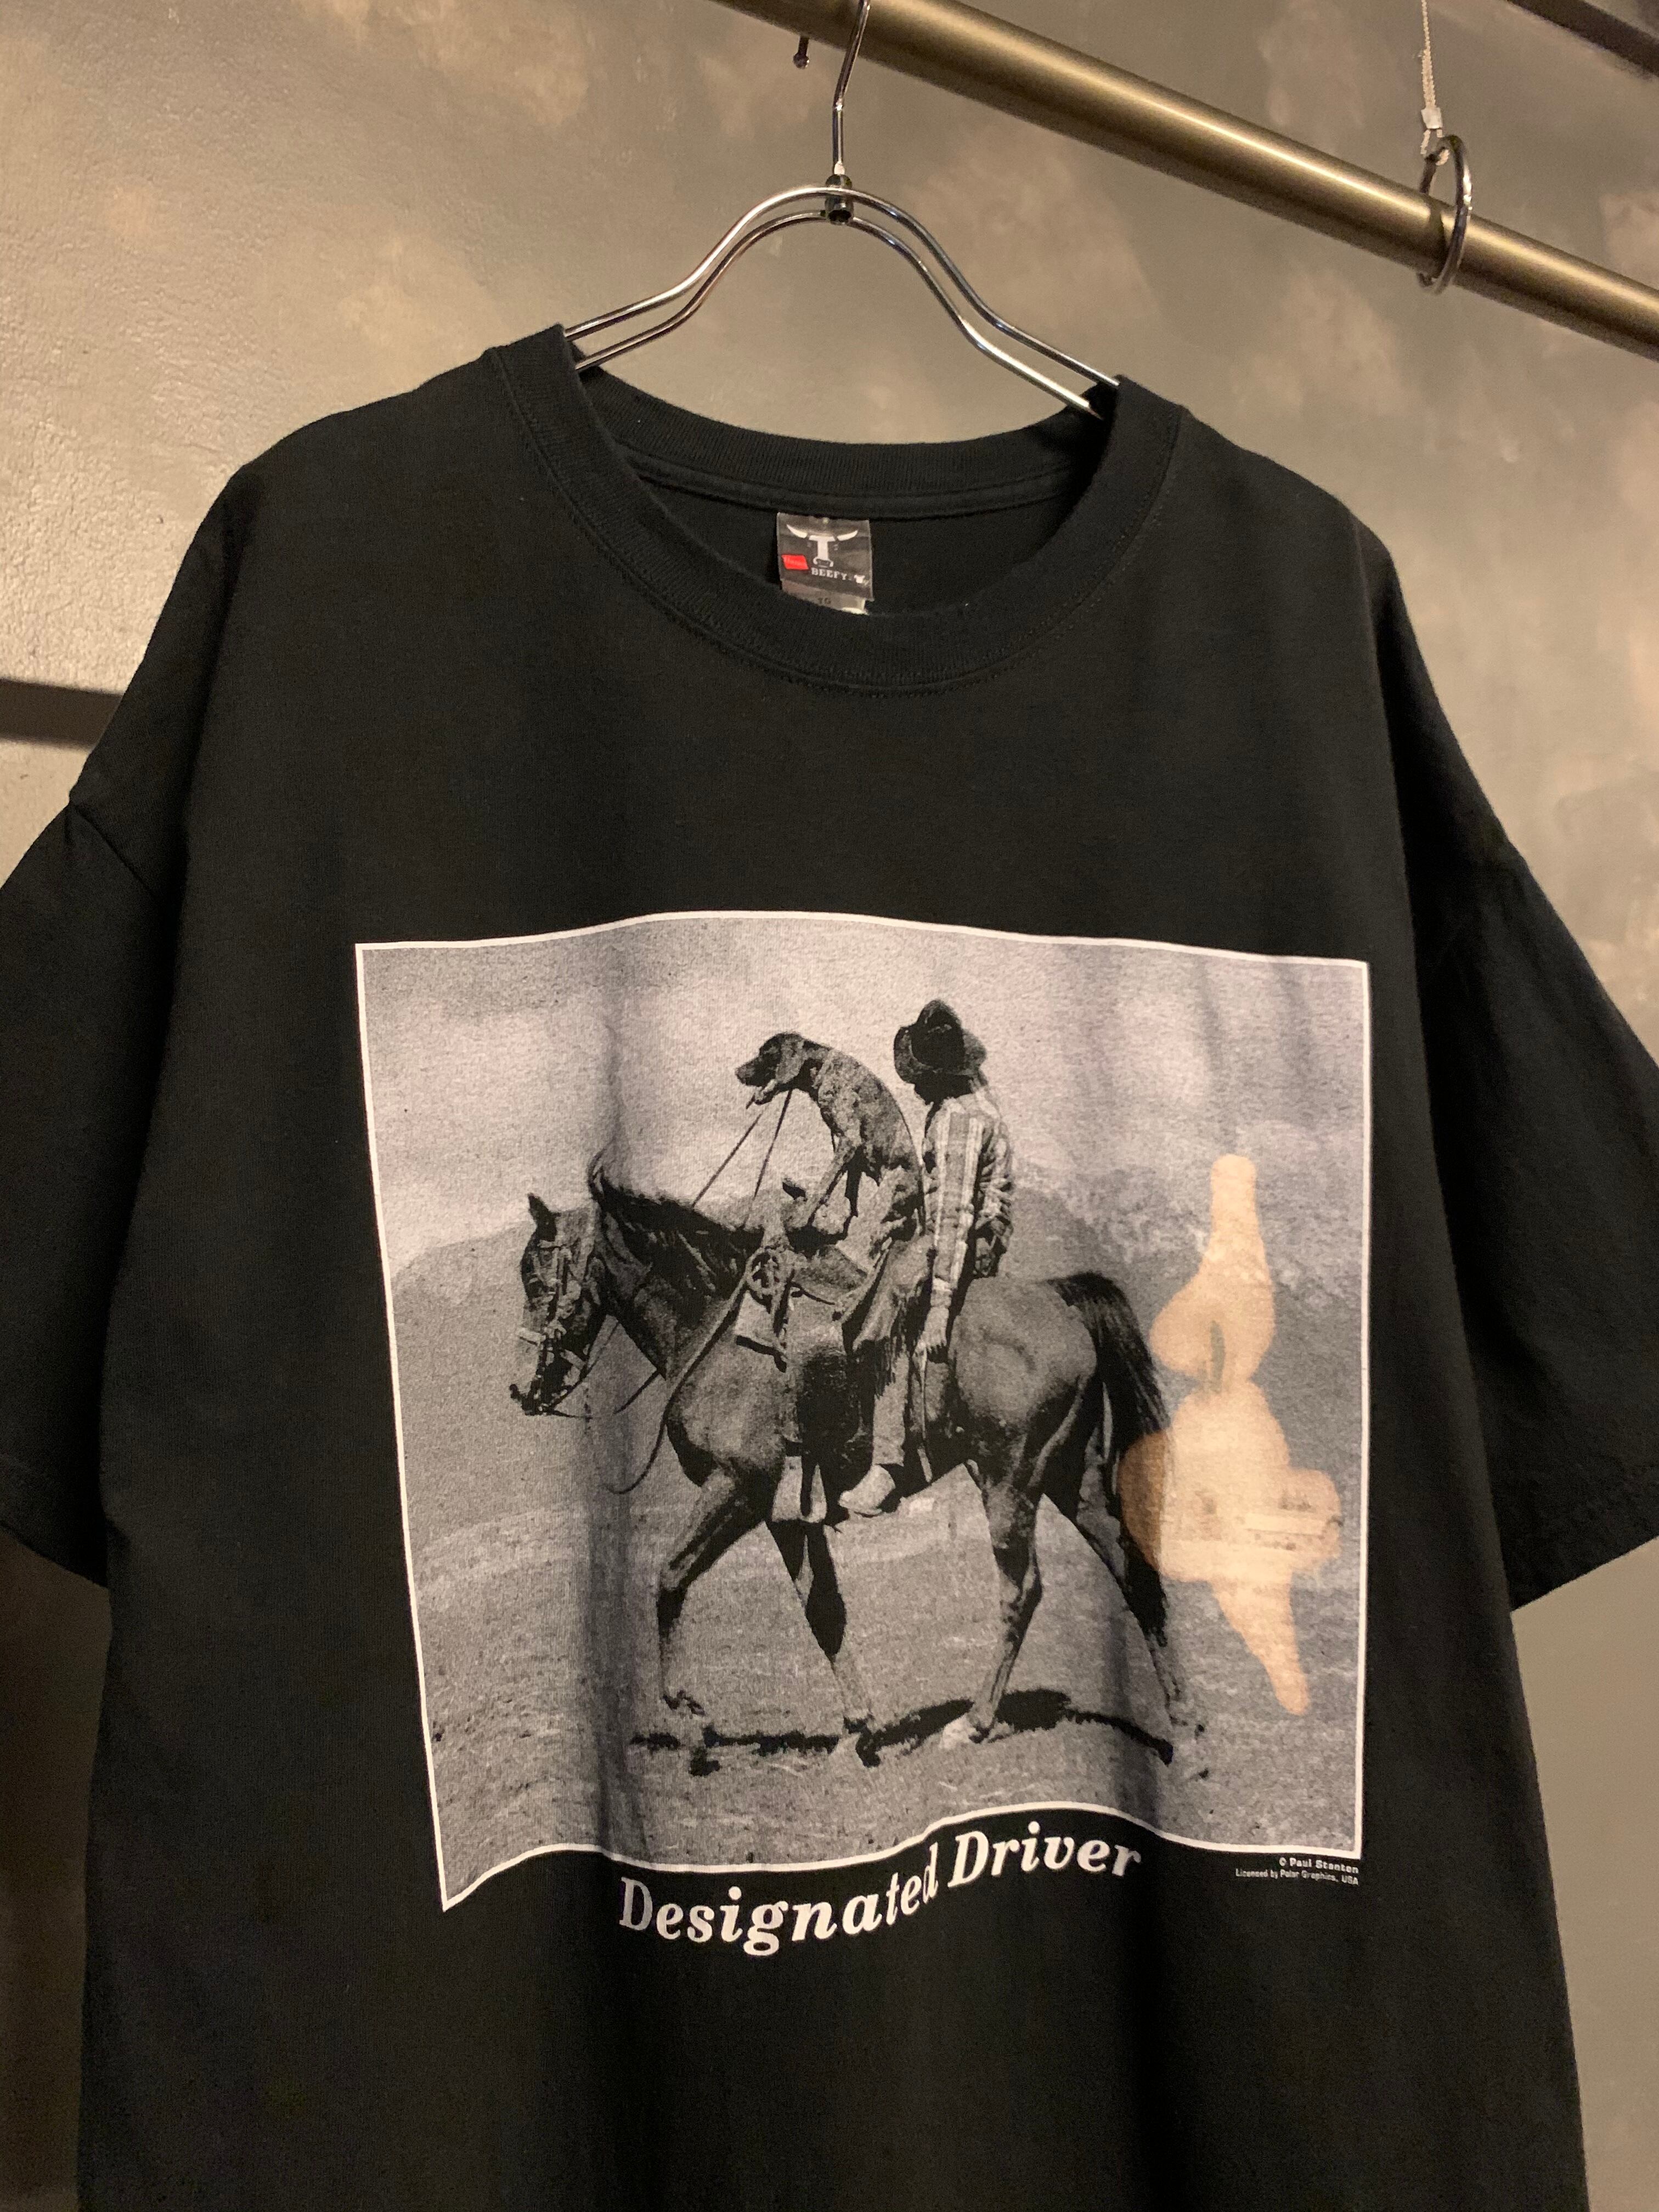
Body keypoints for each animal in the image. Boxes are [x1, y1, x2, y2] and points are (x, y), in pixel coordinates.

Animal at [511, 1162, 1197, 1760]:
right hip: (1068, 1475)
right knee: (1132, 1567)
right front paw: (857, 1731)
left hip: (1011, 1480)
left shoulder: (736, 1489)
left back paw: (975, 1722)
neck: (721, 1339)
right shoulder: (787, 1516)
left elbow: (670, 1577)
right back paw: (1185, 1729)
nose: (521, 1389)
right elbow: (825, 1611)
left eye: (539, 1282)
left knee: (1021, 1590)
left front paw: (691, 1713)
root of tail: (1057, 1300)